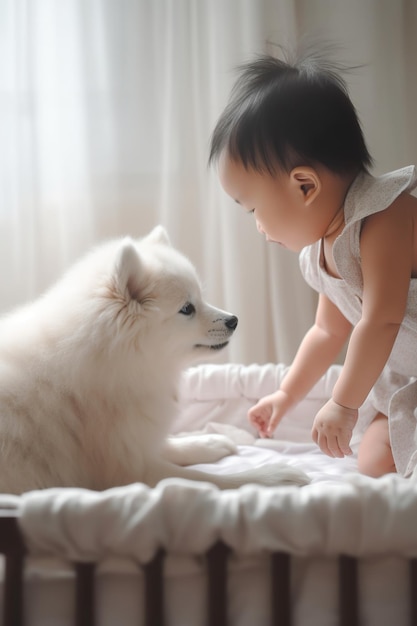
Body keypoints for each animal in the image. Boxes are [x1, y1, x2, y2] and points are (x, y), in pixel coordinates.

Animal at [0, 225, 308, 492]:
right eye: (187, 308)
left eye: (200, 298)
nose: (234, 320)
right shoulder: (127, 468)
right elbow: (204, 479)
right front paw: (274, 477)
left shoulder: (135, 441)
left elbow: (167, 445)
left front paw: (209, 442)